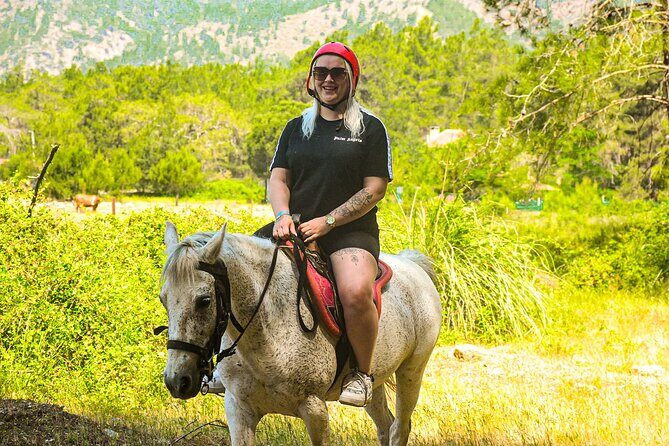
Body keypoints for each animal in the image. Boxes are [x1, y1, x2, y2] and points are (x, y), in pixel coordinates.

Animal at [159, 222, 442, 446]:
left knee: (399, 428)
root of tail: (413, 264)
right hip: (376, 379)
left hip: (411, 372)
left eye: (204, 301)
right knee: (385, 426)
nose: (177, 381)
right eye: (164, 300)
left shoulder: (314, 409)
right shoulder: (238, 409)